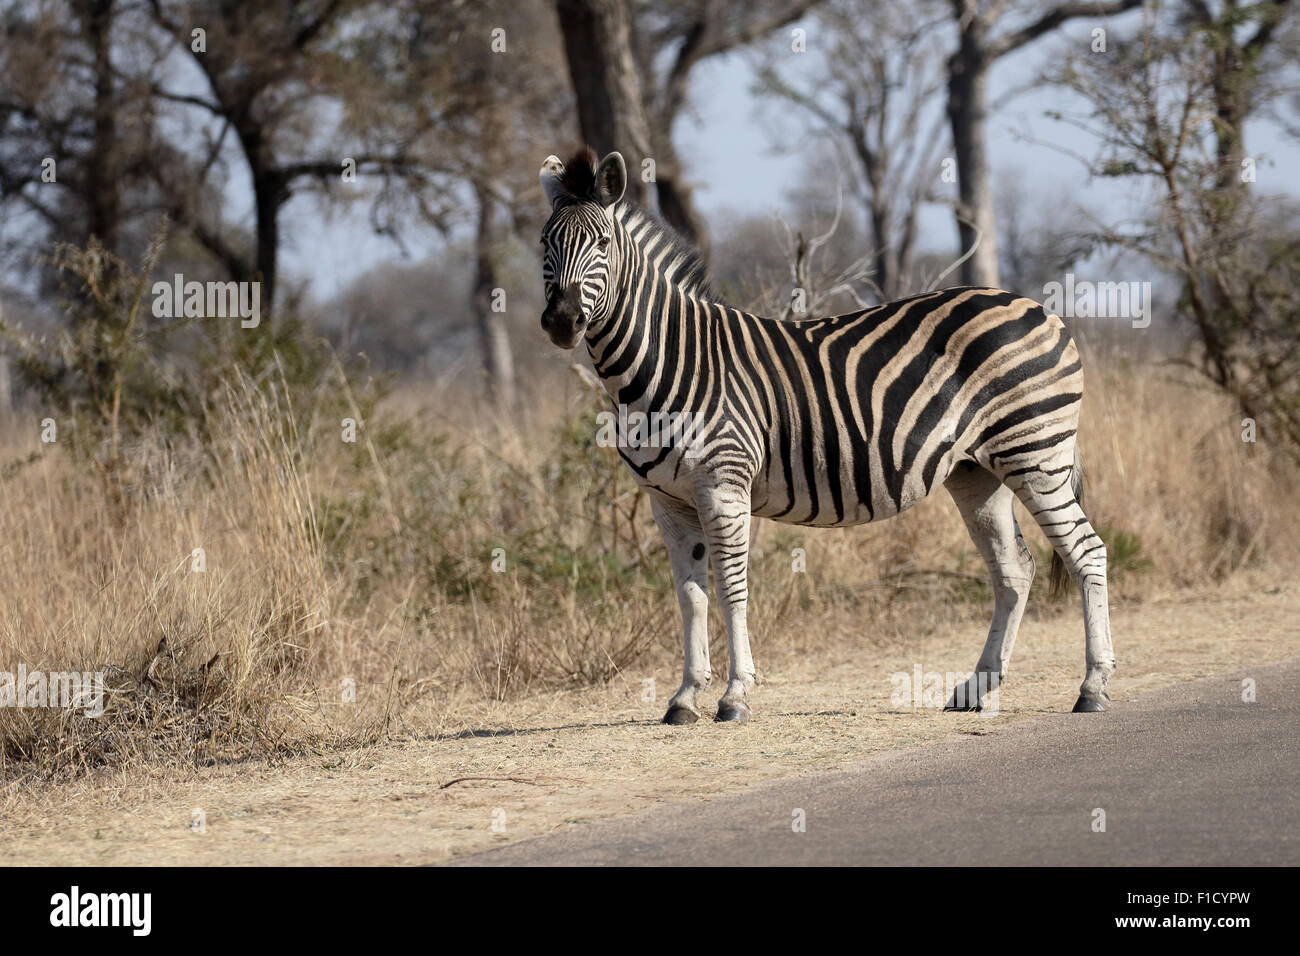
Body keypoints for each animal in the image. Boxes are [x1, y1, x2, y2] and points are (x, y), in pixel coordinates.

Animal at [538, 145, 1118, 723]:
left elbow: (731, 589)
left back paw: (1091, 687)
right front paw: (684, 697)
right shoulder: (668, 500)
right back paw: (978, 688)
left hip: (1035, 454)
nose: (562, 322)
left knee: (1087, 552)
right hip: (978, 472)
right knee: (1014, 570)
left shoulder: (724, 485)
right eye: (546, 244)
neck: (667, 360)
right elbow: (691, 595)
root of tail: (1038, 307)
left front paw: (735, 694)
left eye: (602, 244)